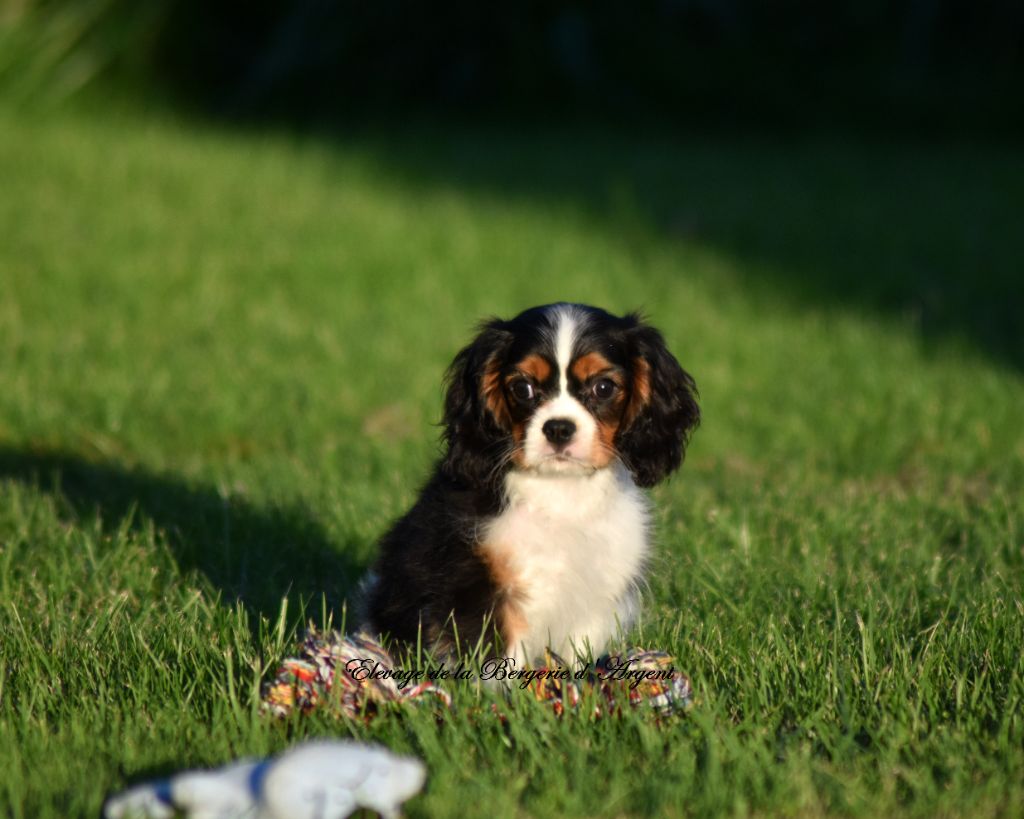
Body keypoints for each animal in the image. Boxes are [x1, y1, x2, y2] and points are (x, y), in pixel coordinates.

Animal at [358, 303, 696, 663]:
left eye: (604, 387)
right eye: (523, 388)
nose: (559, 428)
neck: (560, 490)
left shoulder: (594, 596)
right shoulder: (481, 586)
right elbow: (499, 654)